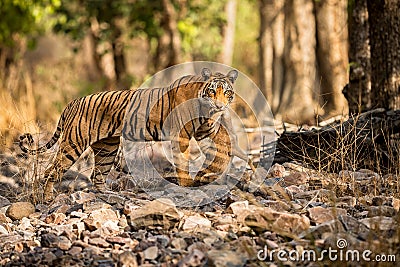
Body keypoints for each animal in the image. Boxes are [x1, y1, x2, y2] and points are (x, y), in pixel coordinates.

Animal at [19, 67, 253, 201]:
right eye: (212, 91)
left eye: (227, 92)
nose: (219, 105)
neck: (206, 110)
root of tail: (72, 102)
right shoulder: (181, 137)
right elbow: (183, 164)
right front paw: (188, 186)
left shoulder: (206, 133)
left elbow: (226, 150)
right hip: (73, 144)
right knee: (50, 171)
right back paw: (47, 198)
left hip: (107, 148)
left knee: (97, 175)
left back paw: (108, 195)